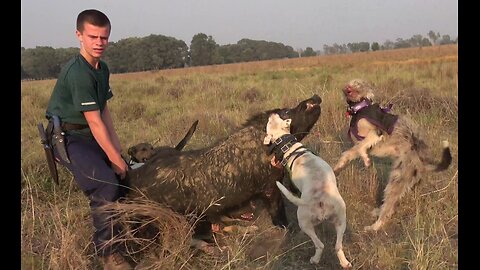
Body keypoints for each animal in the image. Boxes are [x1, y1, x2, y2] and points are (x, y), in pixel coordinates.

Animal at [264, 112, 350, 268]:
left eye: (269, 122)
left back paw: (315, 259)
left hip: (304, 222)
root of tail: (321, 199)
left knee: (320, 245)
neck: (289, 147)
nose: (272, 113)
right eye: (279, 118)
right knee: (337, 246)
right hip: (341, 220)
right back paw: (344, 262)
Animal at [332, 79, 452, 231]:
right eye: (351, 83)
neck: (359, 108)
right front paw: (337, 168)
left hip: (396, 180)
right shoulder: (358, 144)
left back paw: (374, 226)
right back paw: (377, 211)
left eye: (358, 84)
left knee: (388, 210)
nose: (347, 87)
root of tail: (422, 160)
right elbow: (349, 153)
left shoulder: (375, 133)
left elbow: (361, 147)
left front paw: (366, 160)